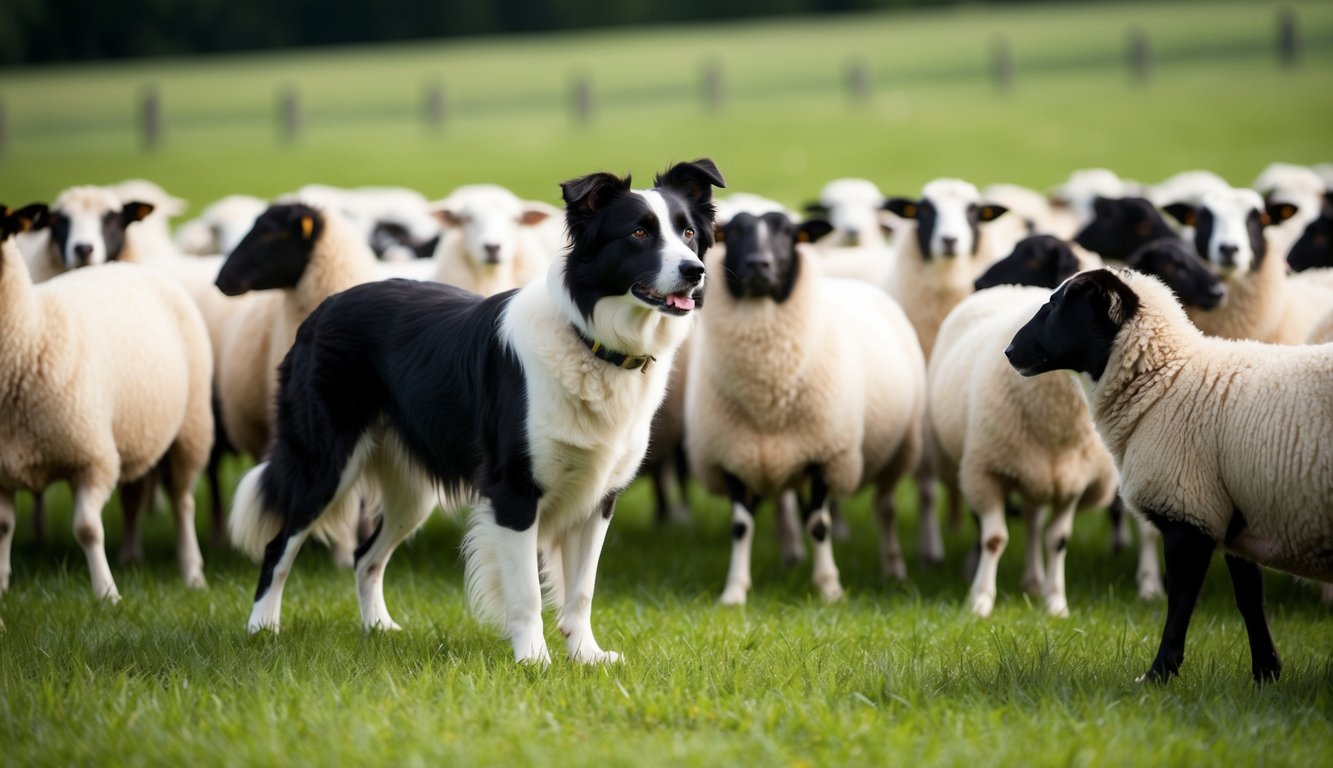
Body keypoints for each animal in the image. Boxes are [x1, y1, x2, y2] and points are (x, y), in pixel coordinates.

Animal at [0, 204, 214, 601]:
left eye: (2, 229)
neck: (31, 331)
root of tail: (130, 266)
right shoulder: (3, 469)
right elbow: (4, 527)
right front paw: (2, 584)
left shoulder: (94, 458)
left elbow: (87, 529)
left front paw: (107, 594)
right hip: (138, 429)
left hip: (191, 428)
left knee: (182, 502)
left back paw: (193, 572)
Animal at [687, 210, 926, 604]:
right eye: (732, 232)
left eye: (789, 233)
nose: (759, 264)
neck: (766, 396)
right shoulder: (731, 457)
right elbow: (741, 526)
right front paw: (734, 591)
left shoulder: (825, 457)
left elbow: (819, 525)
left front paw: (829, 587)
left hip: (899, 452)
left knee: (886, 509)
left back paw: (894, 567)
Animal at [928, 285, 1118, 617]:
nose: (1011, 350)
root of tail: (1013, 286)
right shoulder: (986, 471)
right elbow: (994, 539)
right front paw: (980, 601)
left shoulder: (1074, 482)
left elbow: (1057, 540)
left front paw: (1056, 603)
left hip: (1038, 473)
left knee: (1032, 523)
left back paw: (1034, 581)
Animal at [1006, 268, 1333, 683]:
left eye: (1056, 303)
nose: (1009, 352)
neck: (1170, 379)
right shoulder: (1235, 511)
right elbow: (1249, 600)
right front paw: (1266, 673)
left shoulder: (1188, 510)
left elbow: (1180, 601)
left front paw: (1158, 675)